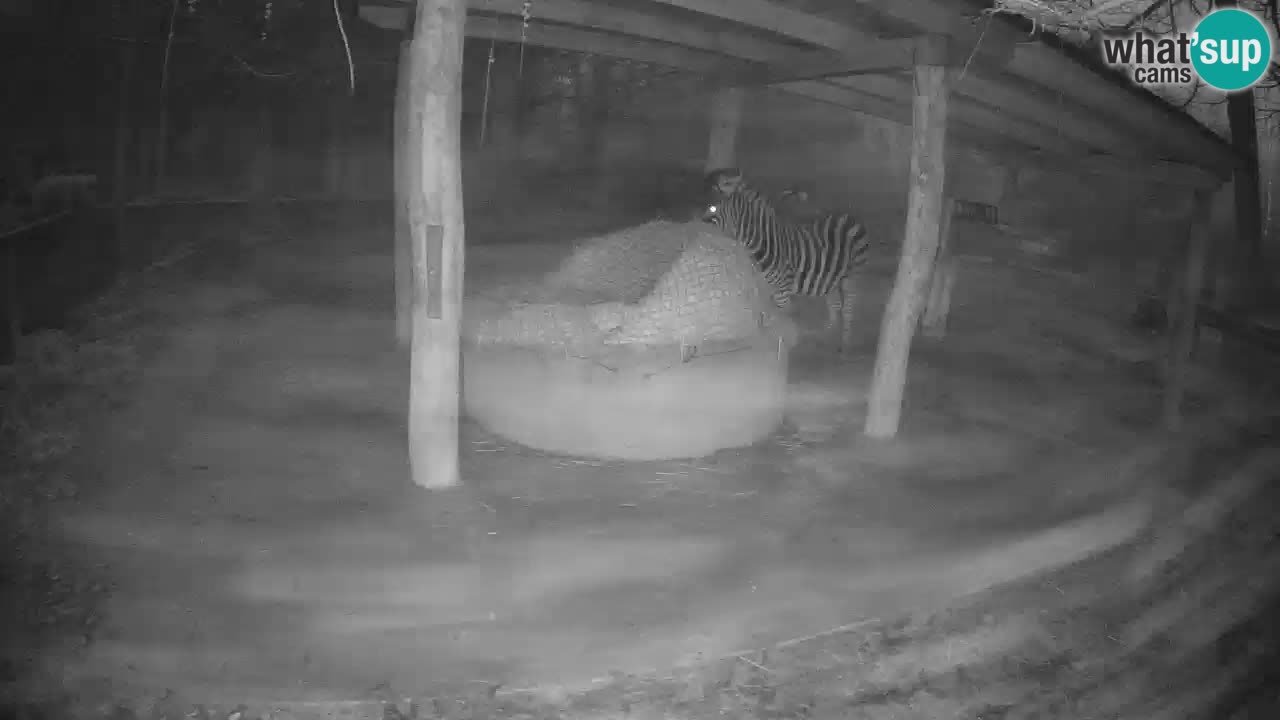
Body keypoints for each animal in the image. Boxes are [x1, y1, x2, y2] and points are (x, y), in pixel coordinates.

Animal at [701, 168, 871, 353]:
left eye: (712, 208)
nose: (694, 229)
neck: (761, 245)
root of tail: (849, 216)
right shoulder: (766, 290)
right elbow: (767, 322)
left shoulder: (781, 293)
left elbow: (780, 324)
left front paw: (780, 352)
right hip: (832, 278)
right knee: (836, 305)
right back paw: (826, 336)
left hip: (853, 276)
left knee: (848, 310)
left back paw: (845, 346)